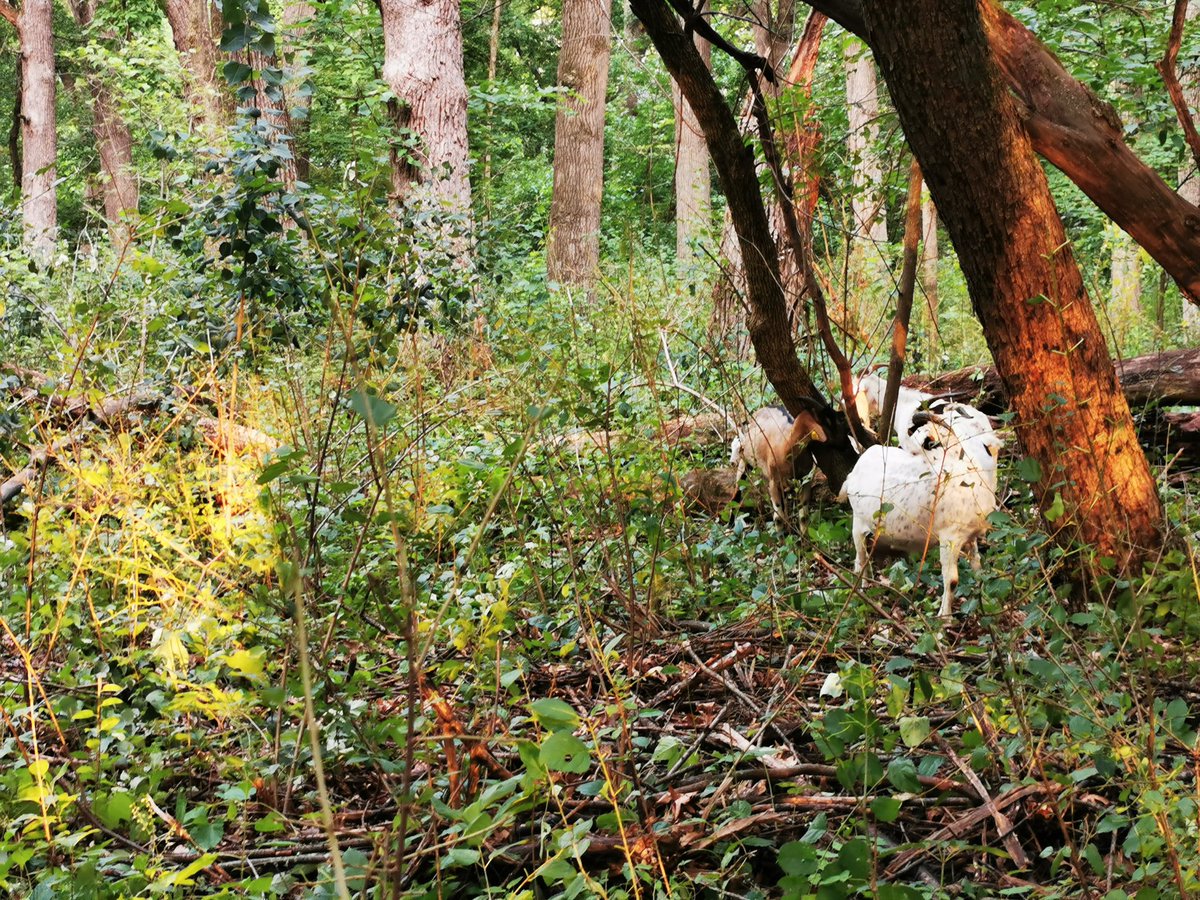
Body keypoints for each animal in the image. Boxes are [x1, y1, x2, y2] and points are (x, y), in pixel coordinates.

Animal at [839, 412, 998, 618]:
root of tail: (854, 472)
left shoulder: (970, 538)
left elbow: (978, 568)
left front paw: (985, 602)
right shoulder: (950, 538)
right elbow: (952, 580)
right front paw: (944, 618)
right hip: (858, 524)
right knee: (860, 558)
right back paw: (861, 594)